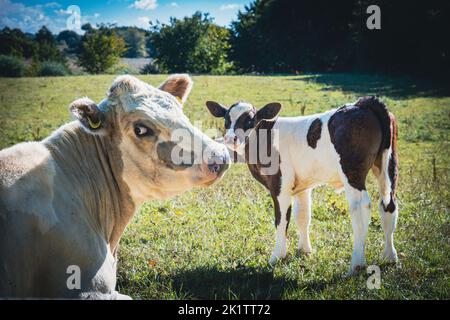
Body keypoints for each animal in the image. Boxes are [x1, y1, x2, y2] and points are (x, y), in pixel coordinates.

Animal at [206, 96, 400, 274]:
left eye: (250, 120)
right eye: (227, 119)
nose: (230, 138)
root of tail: (363, 103)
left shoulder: (280, 186)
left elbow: (281, 220)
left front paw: (277, 256)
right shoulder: (303, 186)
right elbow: (303, 216)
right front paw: (304, 250)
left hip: (352, 171)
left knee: (360, 207)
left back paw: (357, 264)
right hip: (388, 165)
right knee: (389, 205)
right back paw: (390, 257)